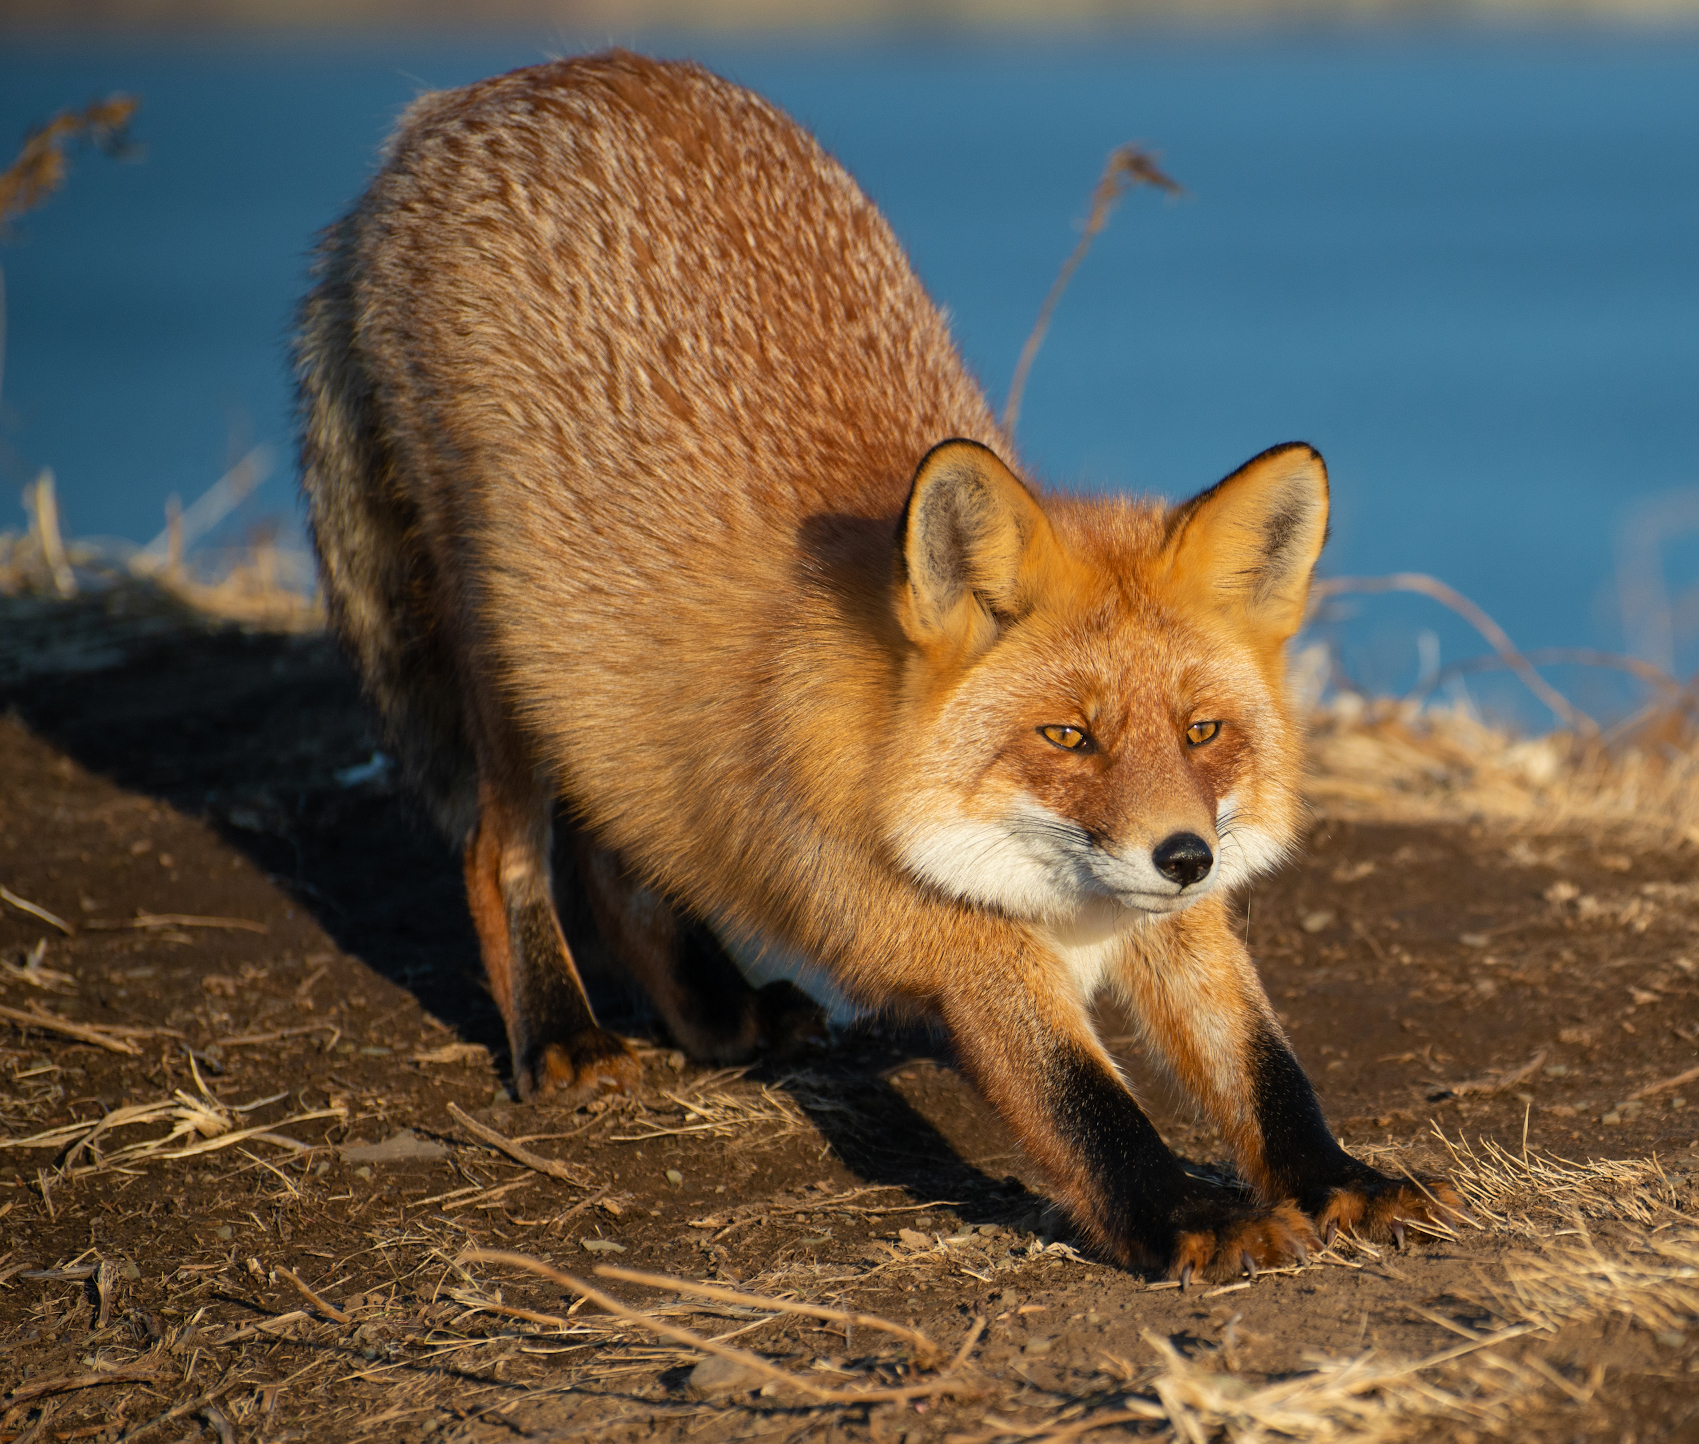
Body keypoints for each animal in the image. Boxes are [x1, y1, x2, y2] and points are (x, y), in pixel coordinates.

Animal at [292, 50, 1461, 1277]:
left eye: (1203, 732)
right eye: (1066, 736)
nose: (1184, 855)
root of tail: (484, 90)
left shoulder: (1174, 923)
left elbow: (1266, 1067)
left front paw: (1339, 1180)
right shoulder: (958, 943)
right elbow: (1085, 1101)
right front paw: (1187, 1213)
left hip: (596, 695)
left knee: (619, 859)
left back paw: (715, 1010)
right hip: (502, 645)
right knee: (499, 849)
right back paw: (560, 1029)